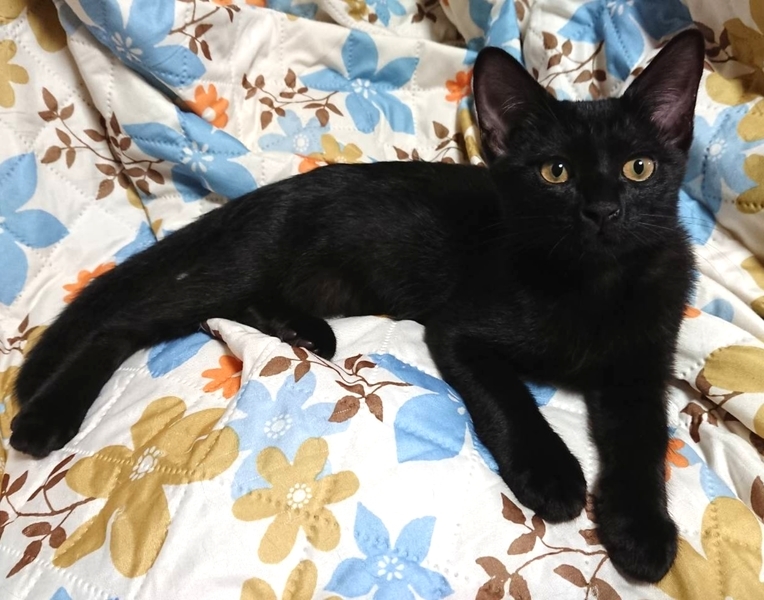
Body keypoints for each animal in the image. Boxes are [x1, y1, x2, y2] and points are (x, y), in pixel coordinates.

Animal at [10, 29, 704, 583]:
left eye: (639, 168)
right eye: (554, 173)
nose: (603, 211)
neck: (591, 286)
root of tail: (257, 197)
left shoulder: (642, 366)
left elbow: (644, 440)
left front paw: (642, 533)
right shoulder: (458, 330)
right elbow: (510, 401)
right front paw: (552, 474)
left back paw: (302, 332)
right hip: (240, 265)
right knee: (126, 323)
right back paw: (47, 417)